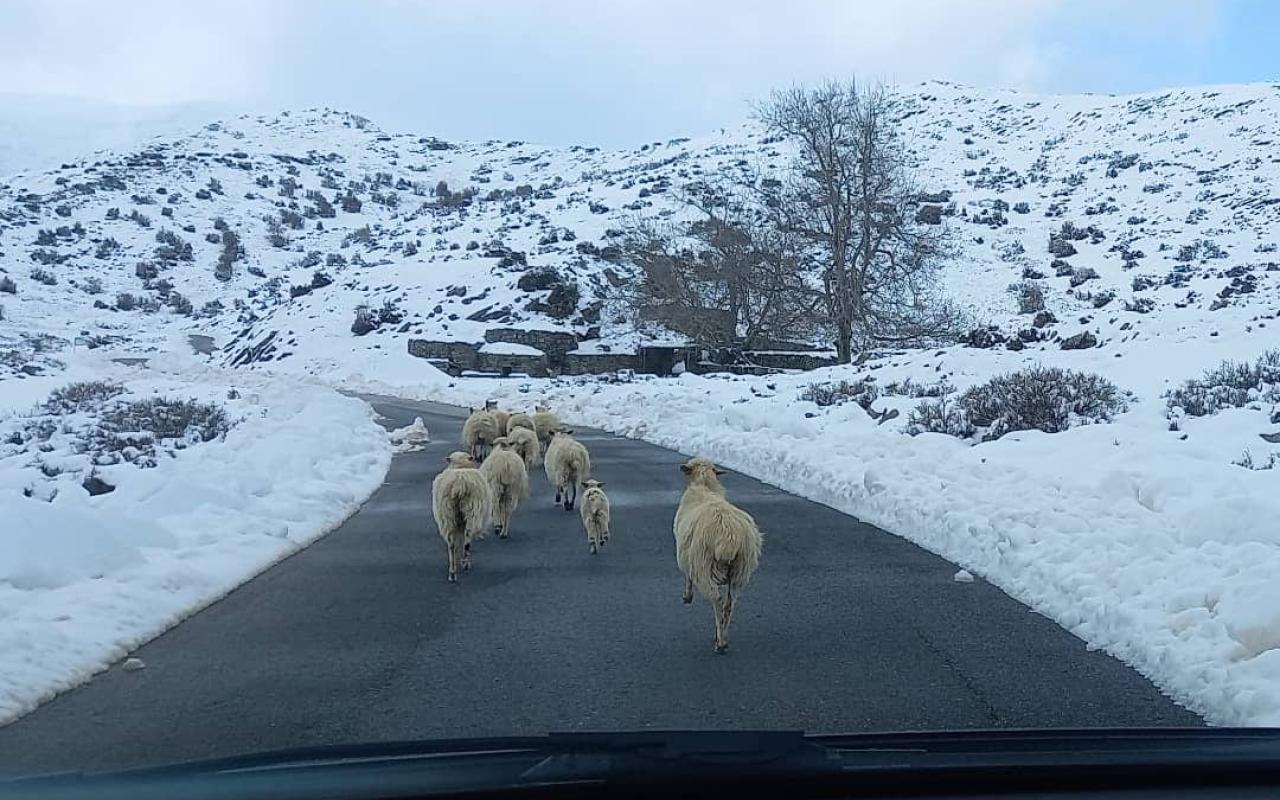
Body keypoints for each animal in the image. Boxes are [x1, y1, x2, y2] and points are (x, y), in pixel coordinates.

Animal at [430, 450, 488, 581]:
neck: (459, 466)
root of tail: (459, 484)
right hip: (471, 512)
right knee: (467, 540)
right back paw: (465, 564)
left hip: (447, 514)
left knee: (451, 544)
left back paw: (452, 572)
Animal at [675, 458, 762, 652]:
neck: (704, 487)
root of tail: (728, 535)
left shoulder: (688, 557)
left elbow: (688, 576)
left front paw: (687, 596)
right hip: (739, 572)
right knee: (729, 605)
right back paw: (723, 636)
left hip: (705, 566)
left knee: (718, 601)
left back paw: (720, 642)